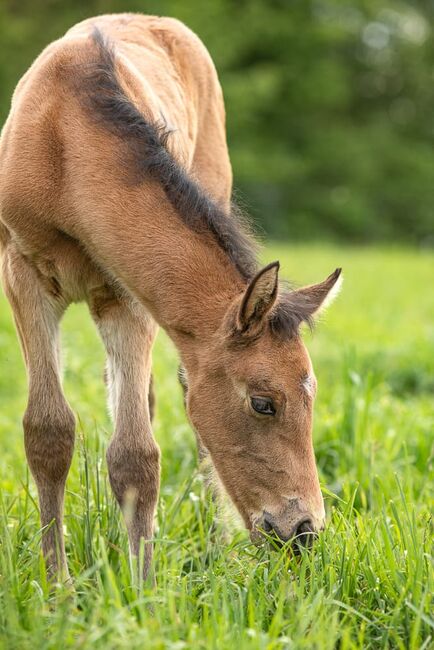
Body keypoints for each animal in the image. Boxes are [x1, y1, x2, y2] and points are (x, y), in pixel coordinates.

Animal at [0, 13, 342, 576]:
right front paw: (59, 585)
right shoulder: (23, 276)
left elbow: (136, 455)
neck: (64, 143)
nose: (302, 531)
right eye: (264, 404)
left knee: (178, 399)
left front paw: (142, 587)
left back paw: (210, 542)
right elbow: (48, 431)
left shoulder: (127, 296)